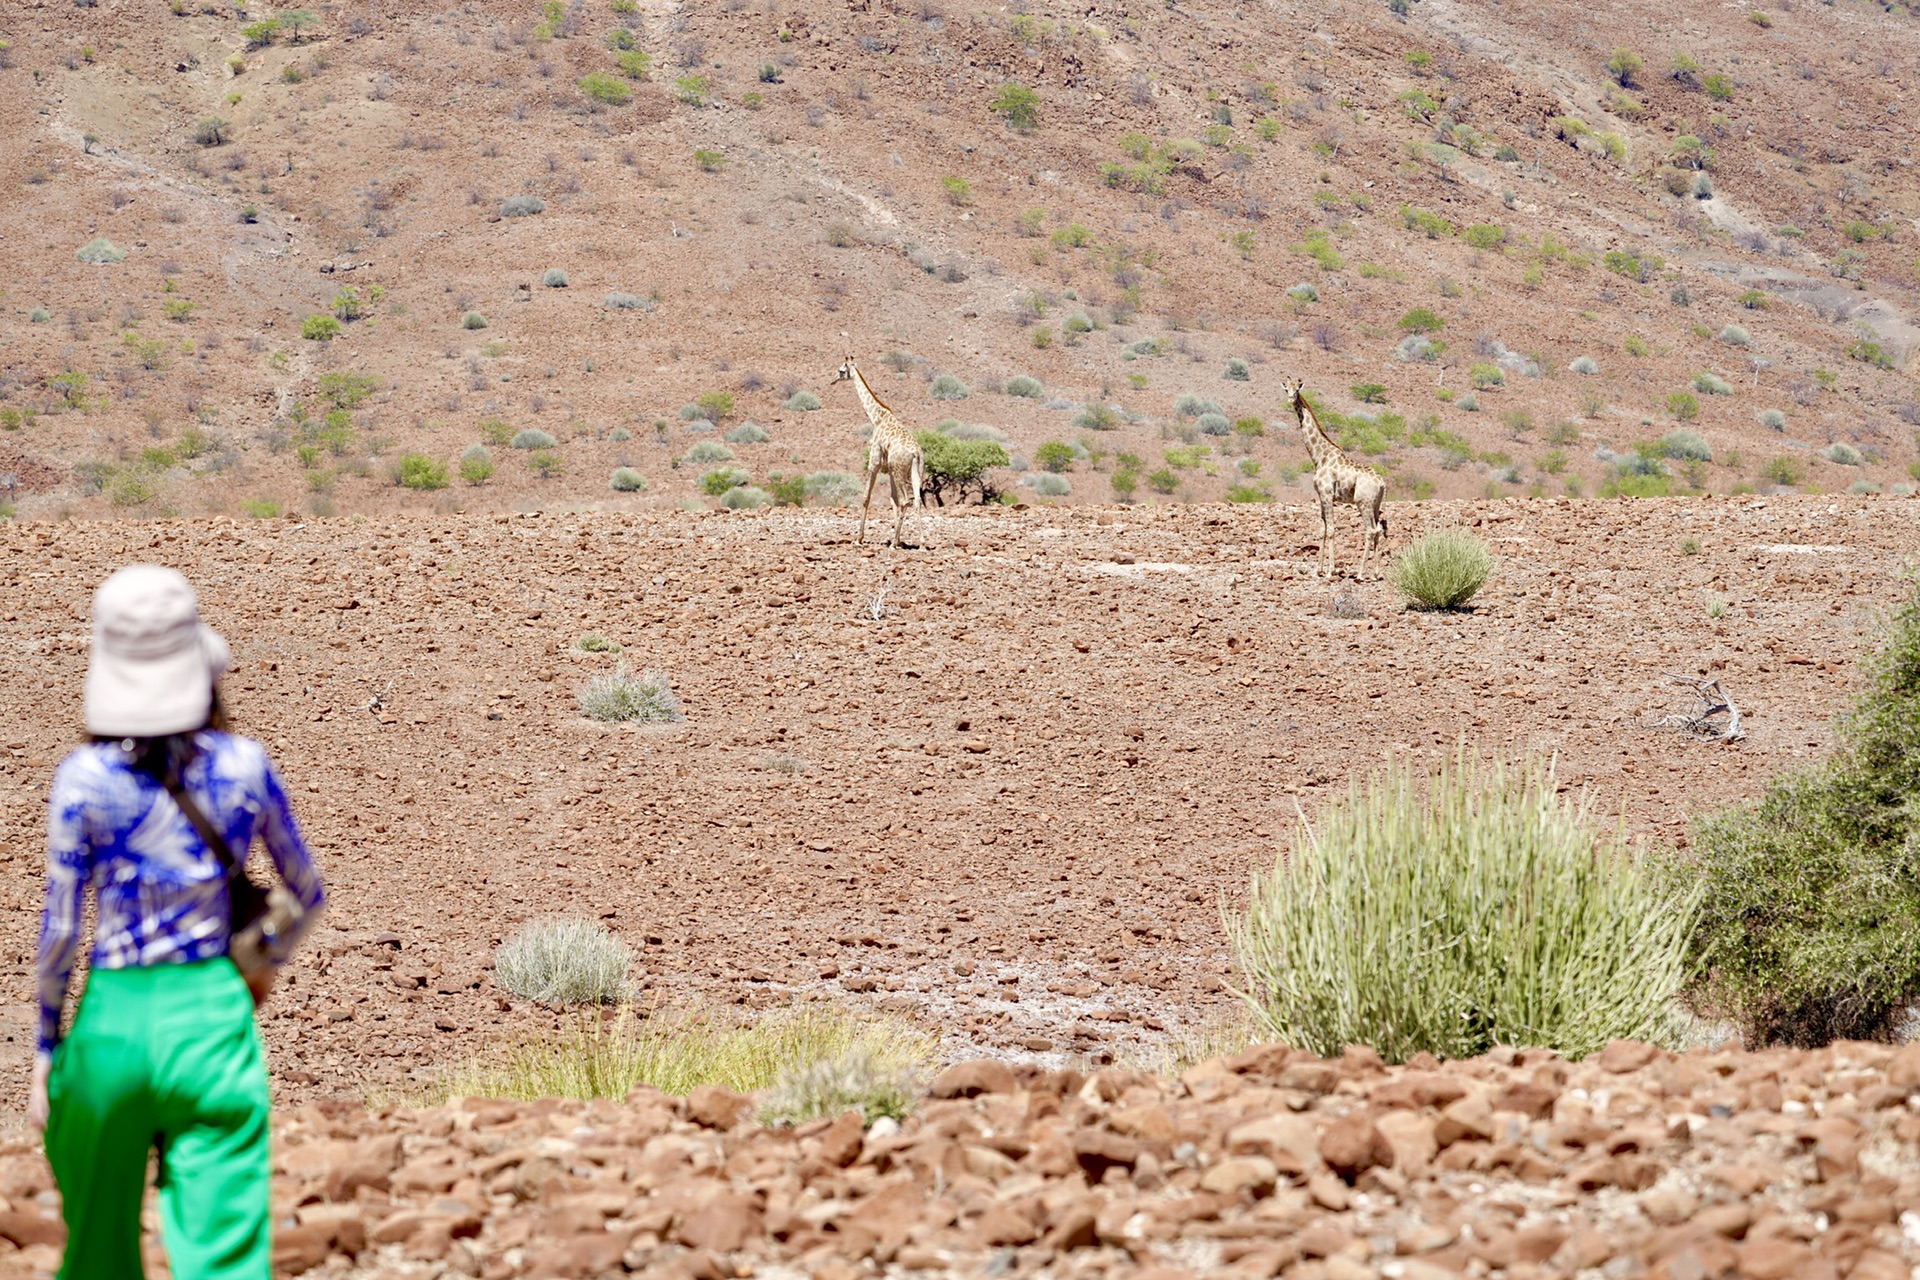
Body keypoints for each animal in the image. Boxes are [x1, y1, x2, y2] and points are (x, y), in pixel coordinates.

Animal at [833, 353, 929, 548]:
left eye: (841, 370)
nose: (833, 380)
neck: (877, 417)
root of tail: (916, 453)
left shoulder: (875, 462)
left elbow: (866, 497)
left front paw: (859, 538)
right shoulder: (889, 468)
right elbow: (893, 500)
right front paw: (897, 539)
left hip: (901, 471)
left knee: (906, 500)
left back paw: (894, 544)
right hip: (916, 471)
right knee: (915, 501)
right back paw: (921, 543)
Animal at [1282, 378, 1390, 583]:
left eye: (1297, 389)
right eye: (1286, 388)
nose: (1290, 399)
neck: (1319, 456)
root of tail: (1382, 483)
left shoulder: (1327, 494)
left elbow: (1331, 529)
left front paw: (1330, 570)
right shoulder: (1321, 497)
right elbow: (1322, 529)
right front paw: (1318, 570)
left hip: (1362, 502)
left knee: (1370, 530)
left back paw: (1360, 574)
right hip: (1375, 504)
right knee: (1378, 530)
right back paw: (1375, 573)